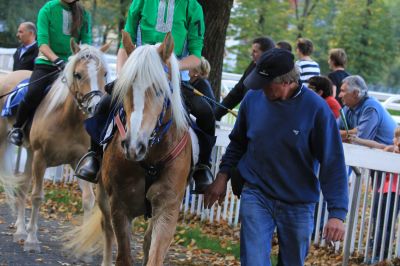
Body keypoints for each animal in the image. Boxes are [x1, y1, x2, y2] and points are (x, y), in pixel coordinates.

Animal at [0, 39, 110, 251]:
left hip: (29, 153)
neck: (67, 118)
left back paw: (20, 230)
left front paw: (84, 247)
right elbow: (37, 196)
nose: (96, 106)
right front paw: (32, 240)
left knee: (23, 185)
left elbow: (88, 200)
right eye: (78, 74)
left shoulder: (78, 161)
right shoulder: (41, 158)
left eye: (104, 74)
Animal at [64, 32, 192, 264]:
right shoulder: (119, 207)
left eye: (160, 89)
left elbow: (154, 254)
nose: (133, 145)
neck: (151, 158)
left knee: (147, 240)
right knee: (106, 230)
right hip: (103, 196)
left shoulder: (167, 210)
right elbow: (122, 255)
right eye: (126, 88)